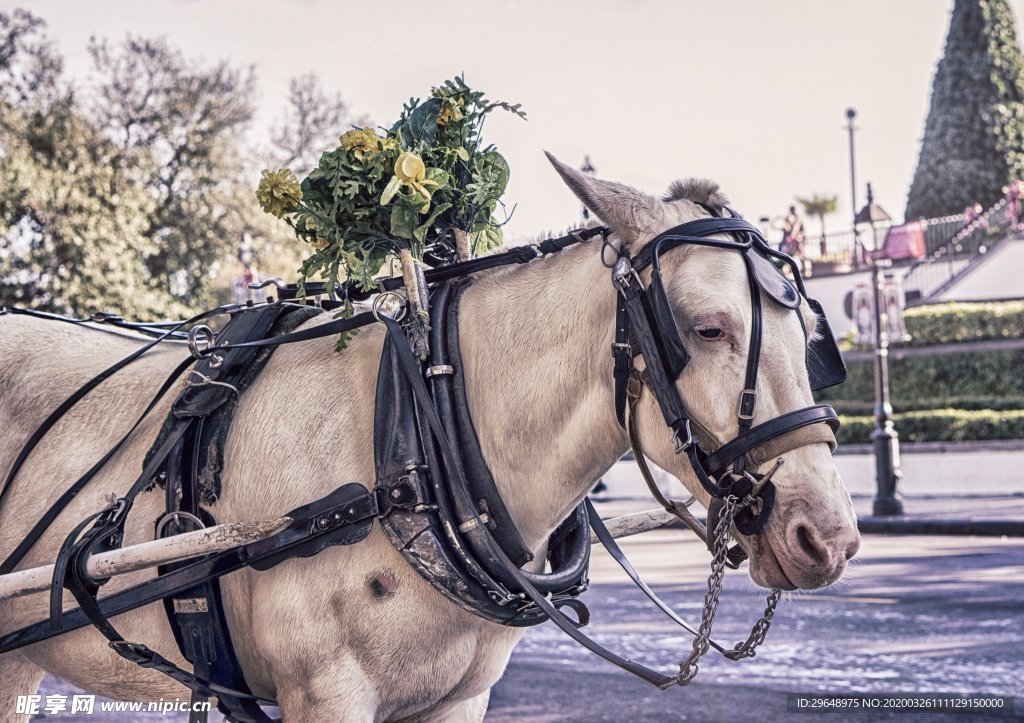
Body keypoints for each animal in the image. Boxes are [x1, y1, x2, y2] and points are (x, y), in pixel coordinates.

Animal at [0, 157, 860, 720]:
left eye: (811, 332)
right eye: (707, 327)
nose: (827, 534)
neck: (417, 445)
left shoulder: (460, 697)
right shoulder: (327, 694)